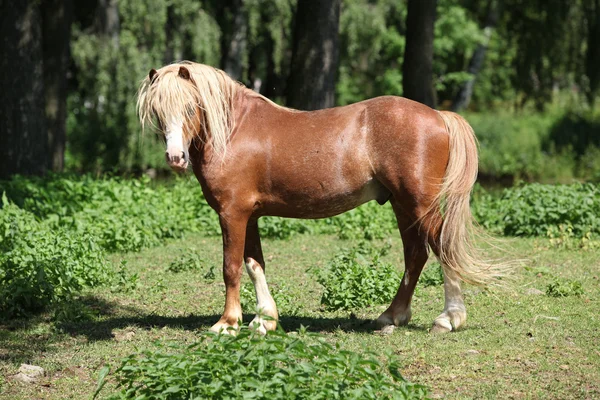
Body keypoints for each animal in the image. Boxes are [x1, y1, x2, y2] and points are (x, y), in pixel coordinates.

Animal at [138, 60, 500, 334]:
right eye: (158, 110)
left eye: (190, 107)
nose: (175, 158)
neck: (234, 131)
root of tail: (439, 116)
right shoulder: (250, 215)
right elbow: (255, 264)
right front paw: (264, 321)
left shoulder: (232, 213)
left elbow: (231, 267)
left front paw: (227, 324)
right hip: (402, 204)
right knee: (416, 255)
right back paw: (391, 317)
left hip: (420, 203)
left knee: (442, 247)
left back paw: (448, 319)